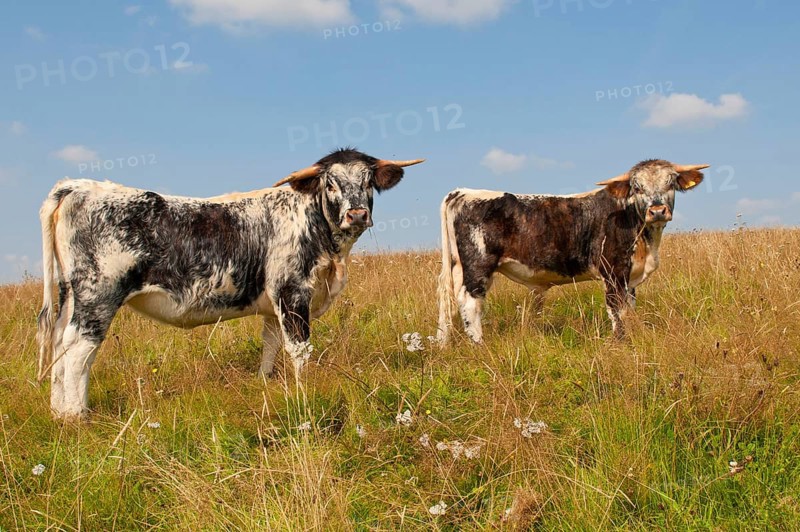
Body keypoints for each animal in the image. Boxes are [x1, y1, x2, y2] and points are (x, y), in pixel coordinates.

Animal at [36, 148, 424, 419]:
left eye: (368, 180)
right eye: (330, 182)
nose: (357, 214)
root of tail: (79, 185)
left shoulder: (272, 304)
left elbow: (270, 345)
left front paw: (266, 383)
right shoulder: (293, 291)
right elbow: (300, 349)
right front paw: (305, 392)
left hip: (70, 295)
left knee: (58, 343)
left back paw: (57, 412)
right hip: (97, 295)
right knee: (78, 350)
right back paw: (77, 415)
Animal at [436, 159, 709, 344]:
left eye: (670, 182)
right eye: (637, 187)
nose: (657, 211)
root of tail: (462, 192)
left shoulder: (629, 277)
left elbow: (629, 309)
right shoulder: (613, 272)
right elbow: (617, 310)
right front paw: (620, 342)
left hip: (459, 266)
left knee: (450, 302)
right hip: (478, 265)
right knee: (470, 301)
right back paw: (479, 344)